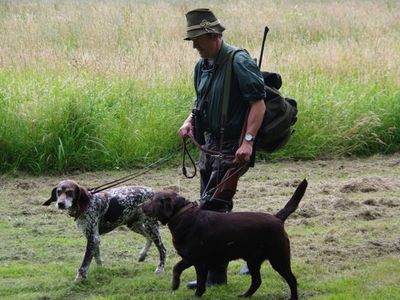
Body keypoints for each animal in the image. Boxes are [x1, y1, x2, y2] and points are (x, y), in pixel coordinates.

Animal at [142, 178, 308, 298]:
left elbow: (200, 283)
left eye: (152, 199)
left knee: (292, 279)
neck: (182, 215)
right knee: (257, 281)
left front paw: (197, 295)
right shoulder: (189, 258)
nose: (140, 206)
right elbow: (176, 268)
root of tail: (277, 218)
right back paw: (245, 295)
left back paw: (293, 297)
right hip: (253, 261)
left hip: (278, 258)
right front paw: (175, 284)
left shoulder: (199, 262)